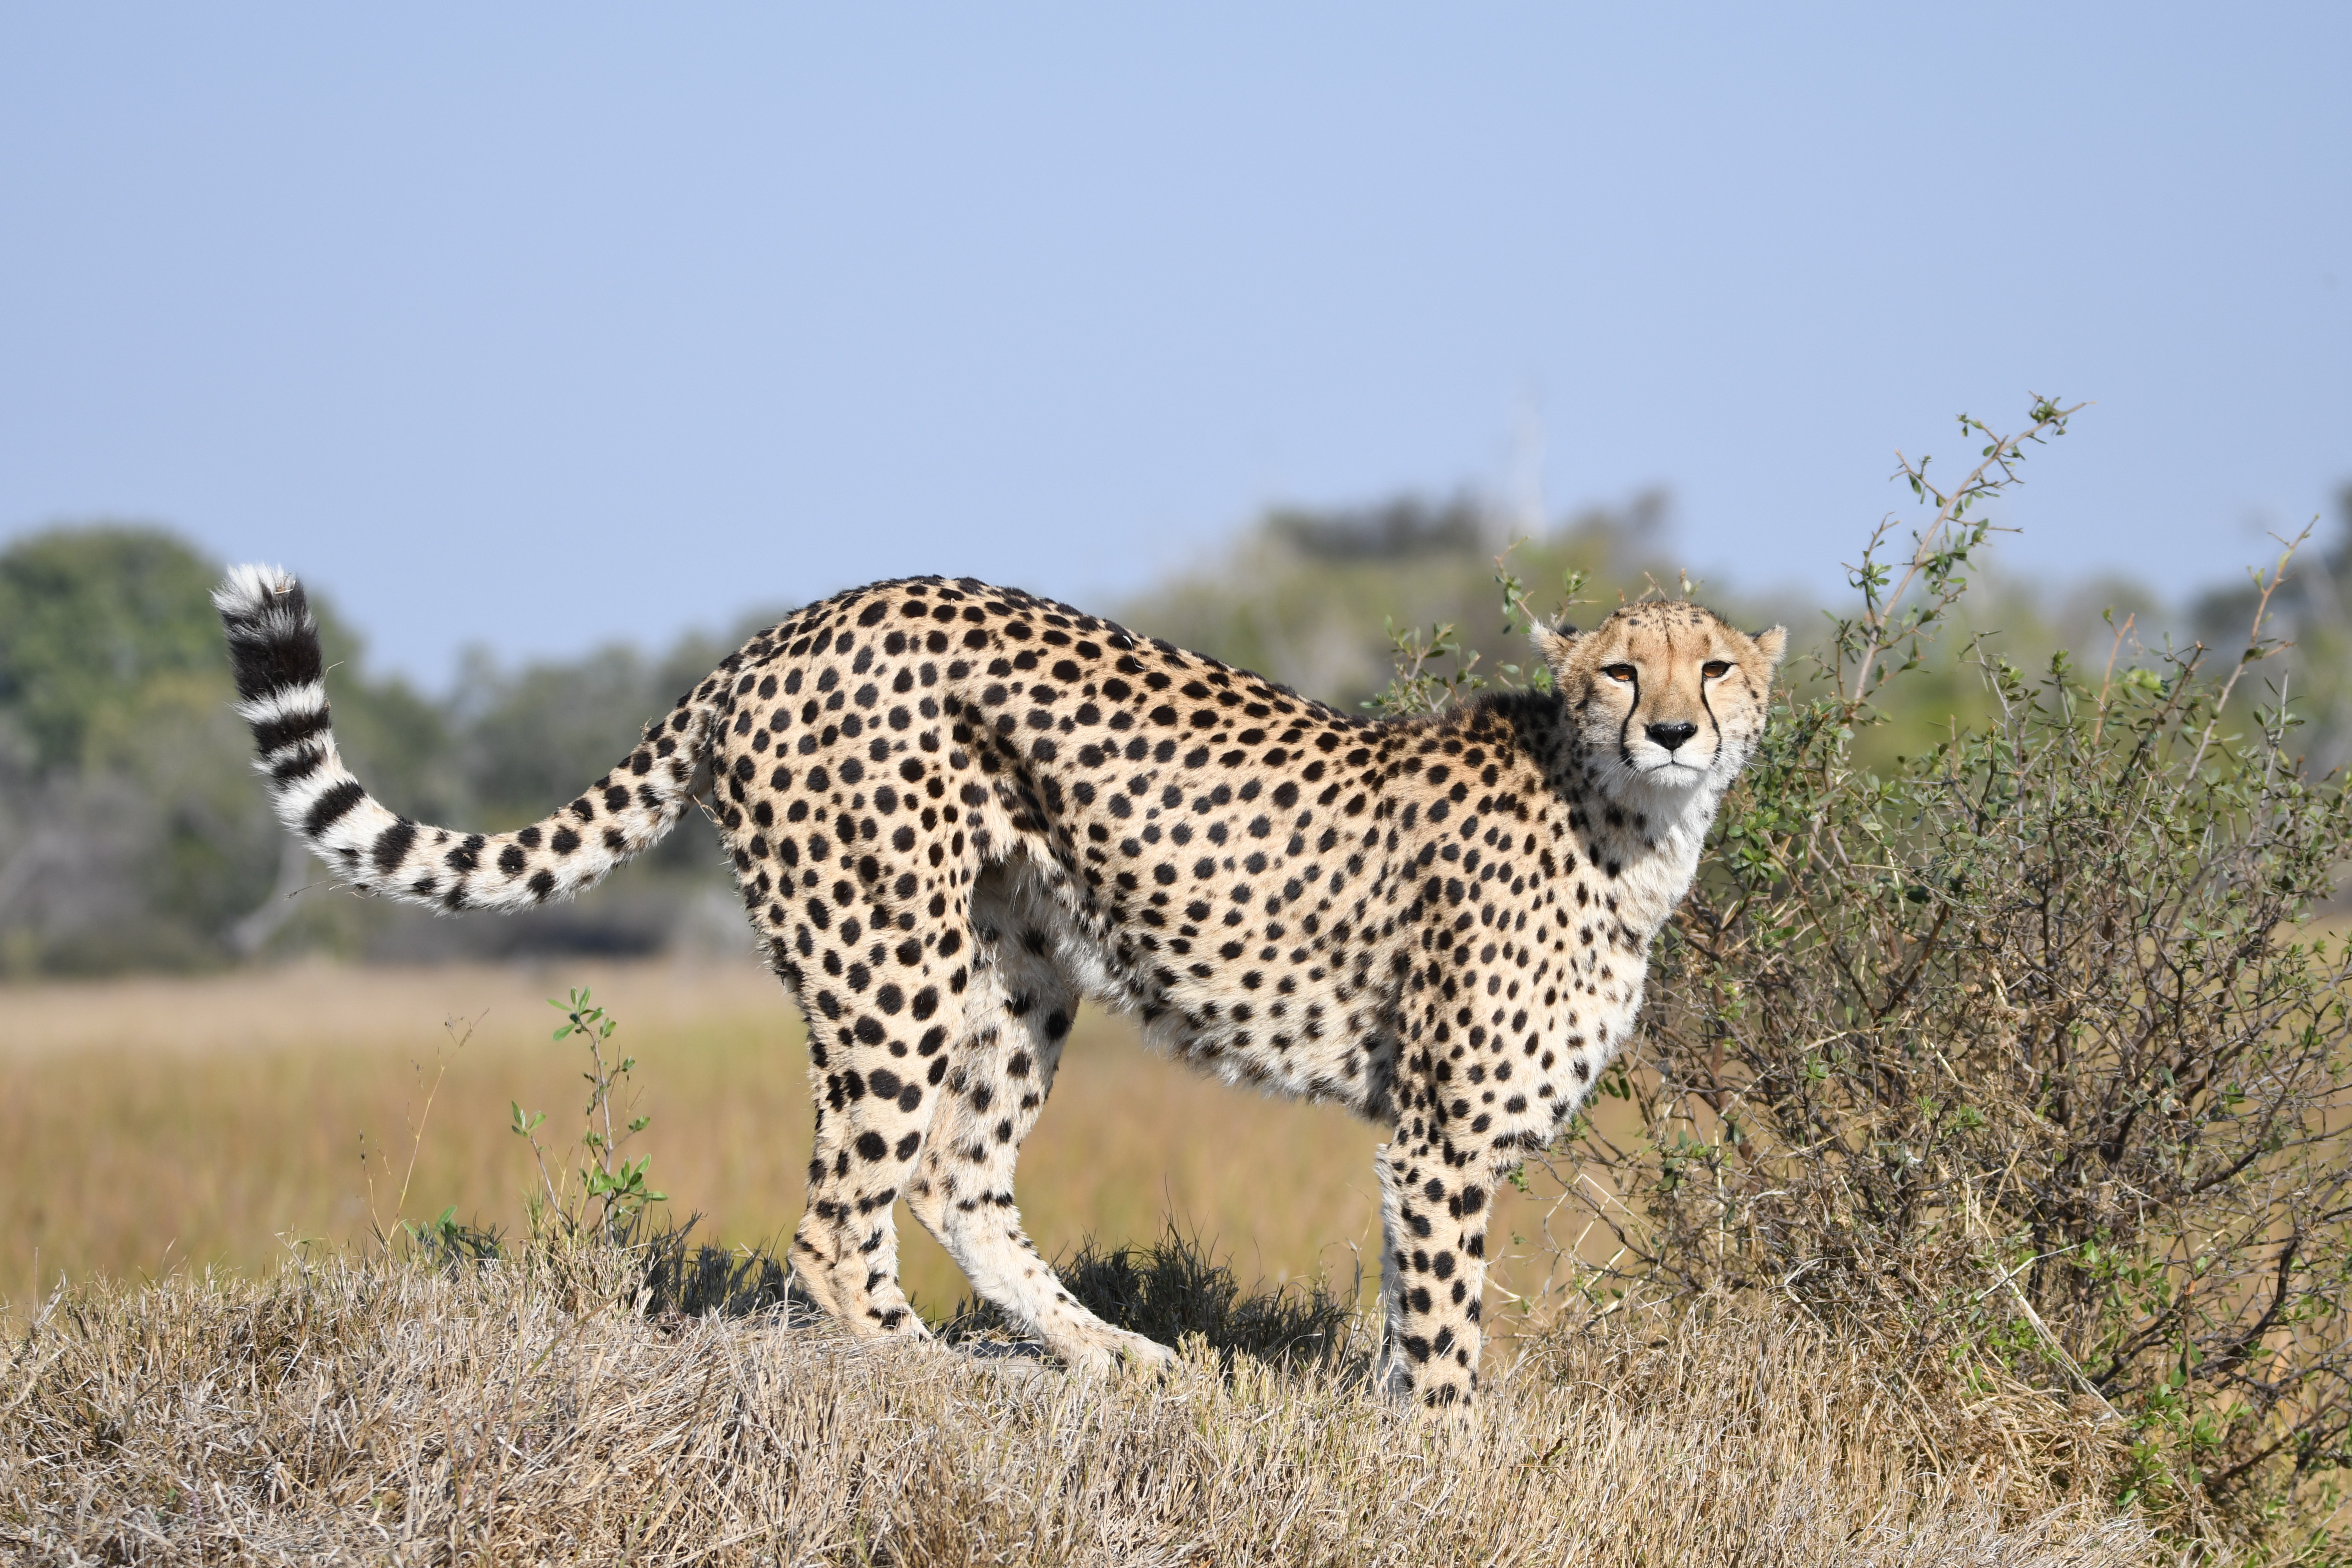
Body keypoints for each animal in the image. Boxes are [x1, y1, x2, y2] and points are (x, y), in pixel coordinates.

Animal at [215, 564, 1783, 1409]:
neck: (1621, 825)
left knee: (948, 1177)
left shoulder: (1419, 1146)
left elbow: (1410, 1312)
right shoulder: (1443, 1141)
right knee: (833, 1219)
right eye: (1613, 673)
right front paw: (1450, 1455)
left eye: (1713, 667)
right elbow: (1447, 1330)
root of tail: (787, 628)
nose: (1668, 729)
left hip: (1016, 965)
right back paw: (933, 1373)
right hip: (884, 957)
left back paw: (1109, 1356)